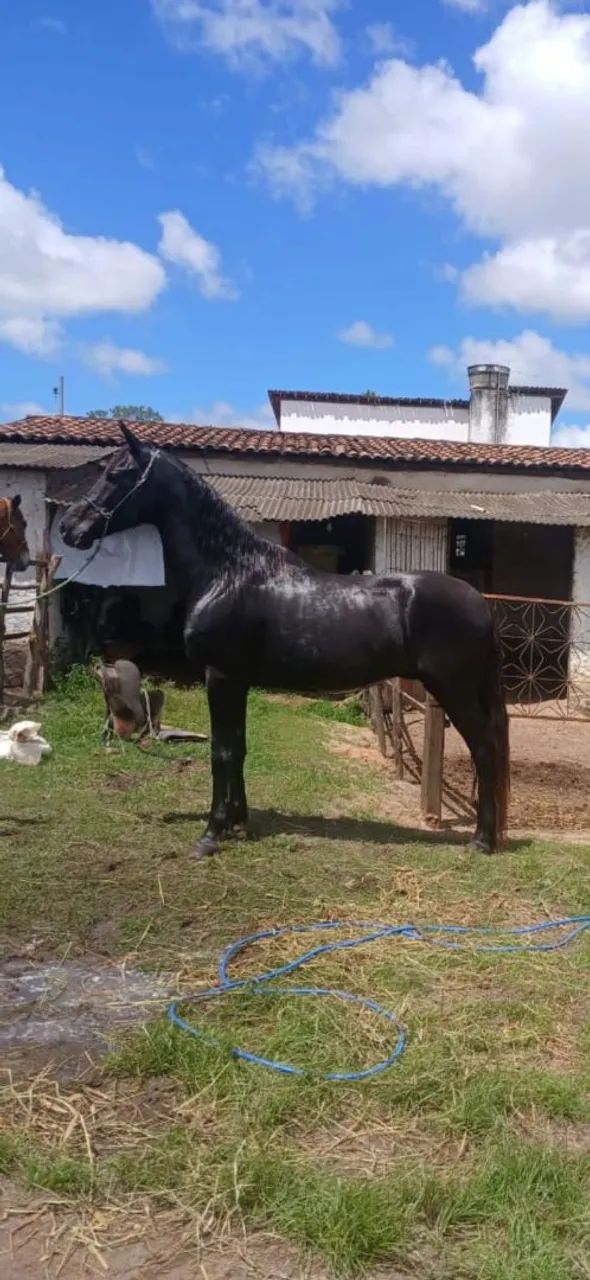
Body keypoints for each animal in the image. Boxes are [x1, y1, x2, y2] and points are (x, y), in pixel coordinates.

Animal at [60, 425, 510, 859]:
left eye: (116, 474)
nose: (69, 527)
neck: (227, 573)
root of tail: (479, 603)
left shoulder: (220, 678)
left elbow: (221, 752)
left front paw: (211, 834)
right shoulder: (236, 682)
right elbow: (238, 747)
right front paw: (239, 824)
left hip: (452, 690)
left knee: (484, 750)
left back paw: (482, 841)